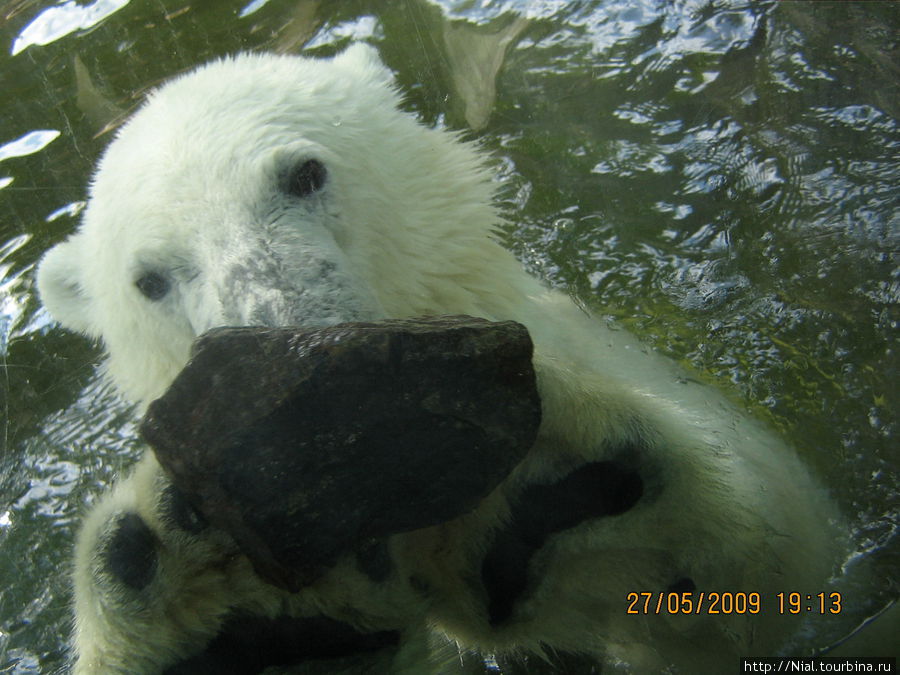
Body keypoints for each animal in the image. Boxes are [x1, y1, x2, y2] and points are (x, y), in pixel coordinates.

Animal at [37, 45, 844, 672]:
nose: (282, 336)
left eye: (304, 173)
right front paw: (208, 594)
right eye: (149, 280)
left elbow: (776, 556)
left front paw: (542, 480)